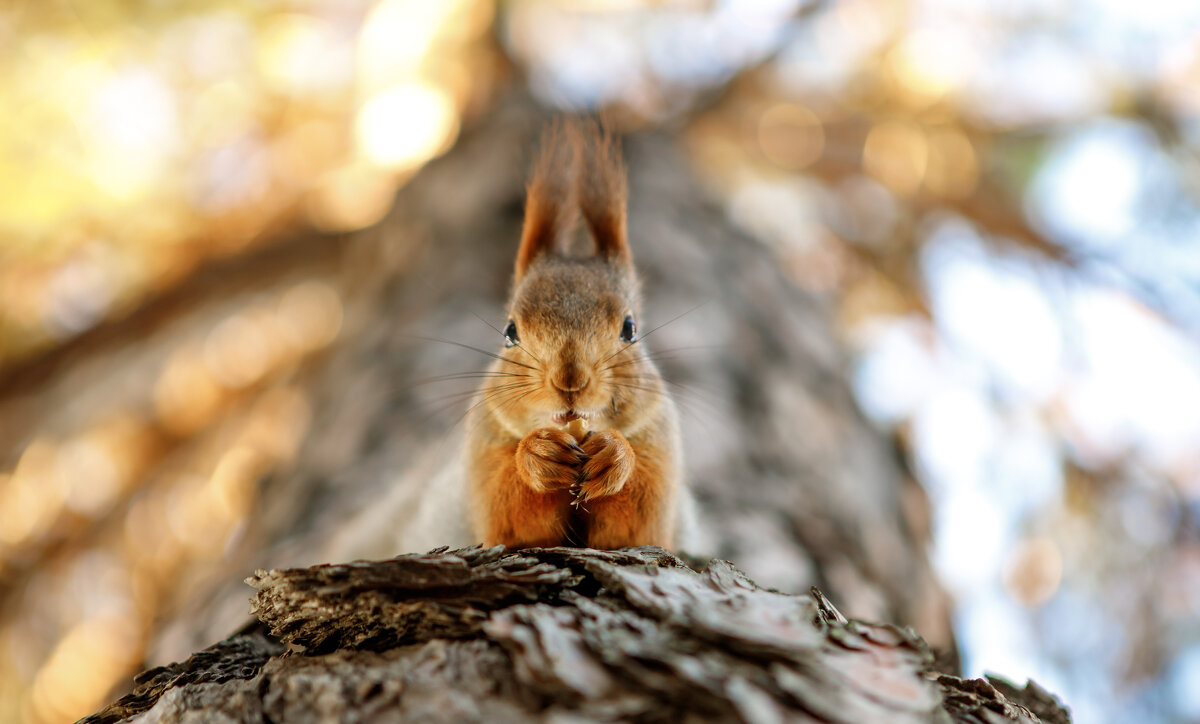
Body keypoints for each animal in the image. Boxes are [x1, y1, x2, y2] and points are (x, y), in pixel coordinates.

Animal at [463, 120, 691, 549]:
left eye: (630, 329)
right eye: (510, 332)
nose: (570, 382)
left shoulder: (661, 448)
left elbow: (642, 520)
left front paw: (615, 456)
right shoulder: (482, 449)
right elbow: (507, 514)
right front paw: (538, 455)